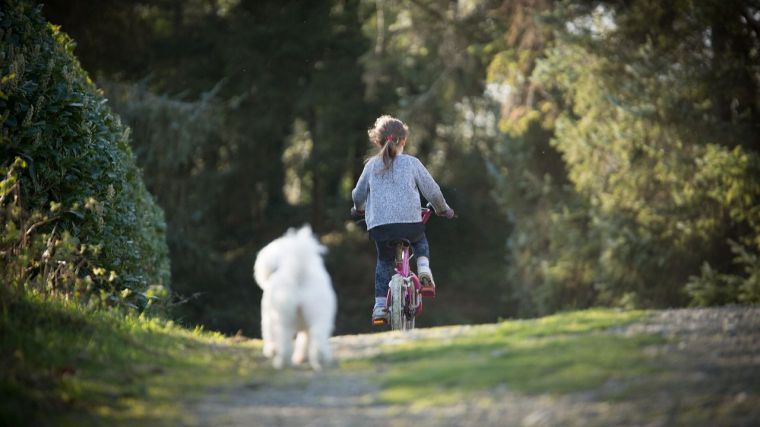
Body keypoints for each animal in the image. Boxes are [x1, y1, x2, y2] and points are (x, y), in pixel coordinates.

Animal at [252, 226, 336, 370]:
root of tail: (298, 273)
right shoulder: (306, 327)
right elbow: (304, 341)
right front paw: (300, 358)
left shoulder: (268, 318)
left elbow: (268, 335)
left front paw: (270, 350)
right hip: (318, 315)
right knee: (317, 339)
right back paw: (320, 361)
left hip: (282, 318)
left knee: (284, 343)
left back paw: (280, 362)